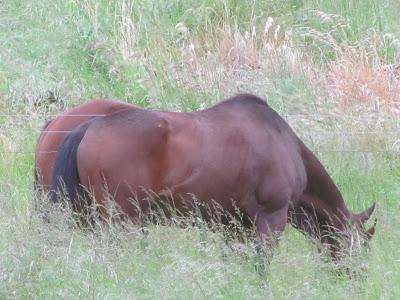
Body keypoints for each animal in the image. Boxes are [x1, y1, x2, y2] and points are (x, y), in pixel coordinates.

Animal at [51, 94, 376, 258]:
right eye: (364, 248)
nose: (358, 280)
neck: (287, 146)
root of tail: (88, 127)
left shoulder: (235, 227)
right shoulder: (271, 219)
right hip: (121, 219)